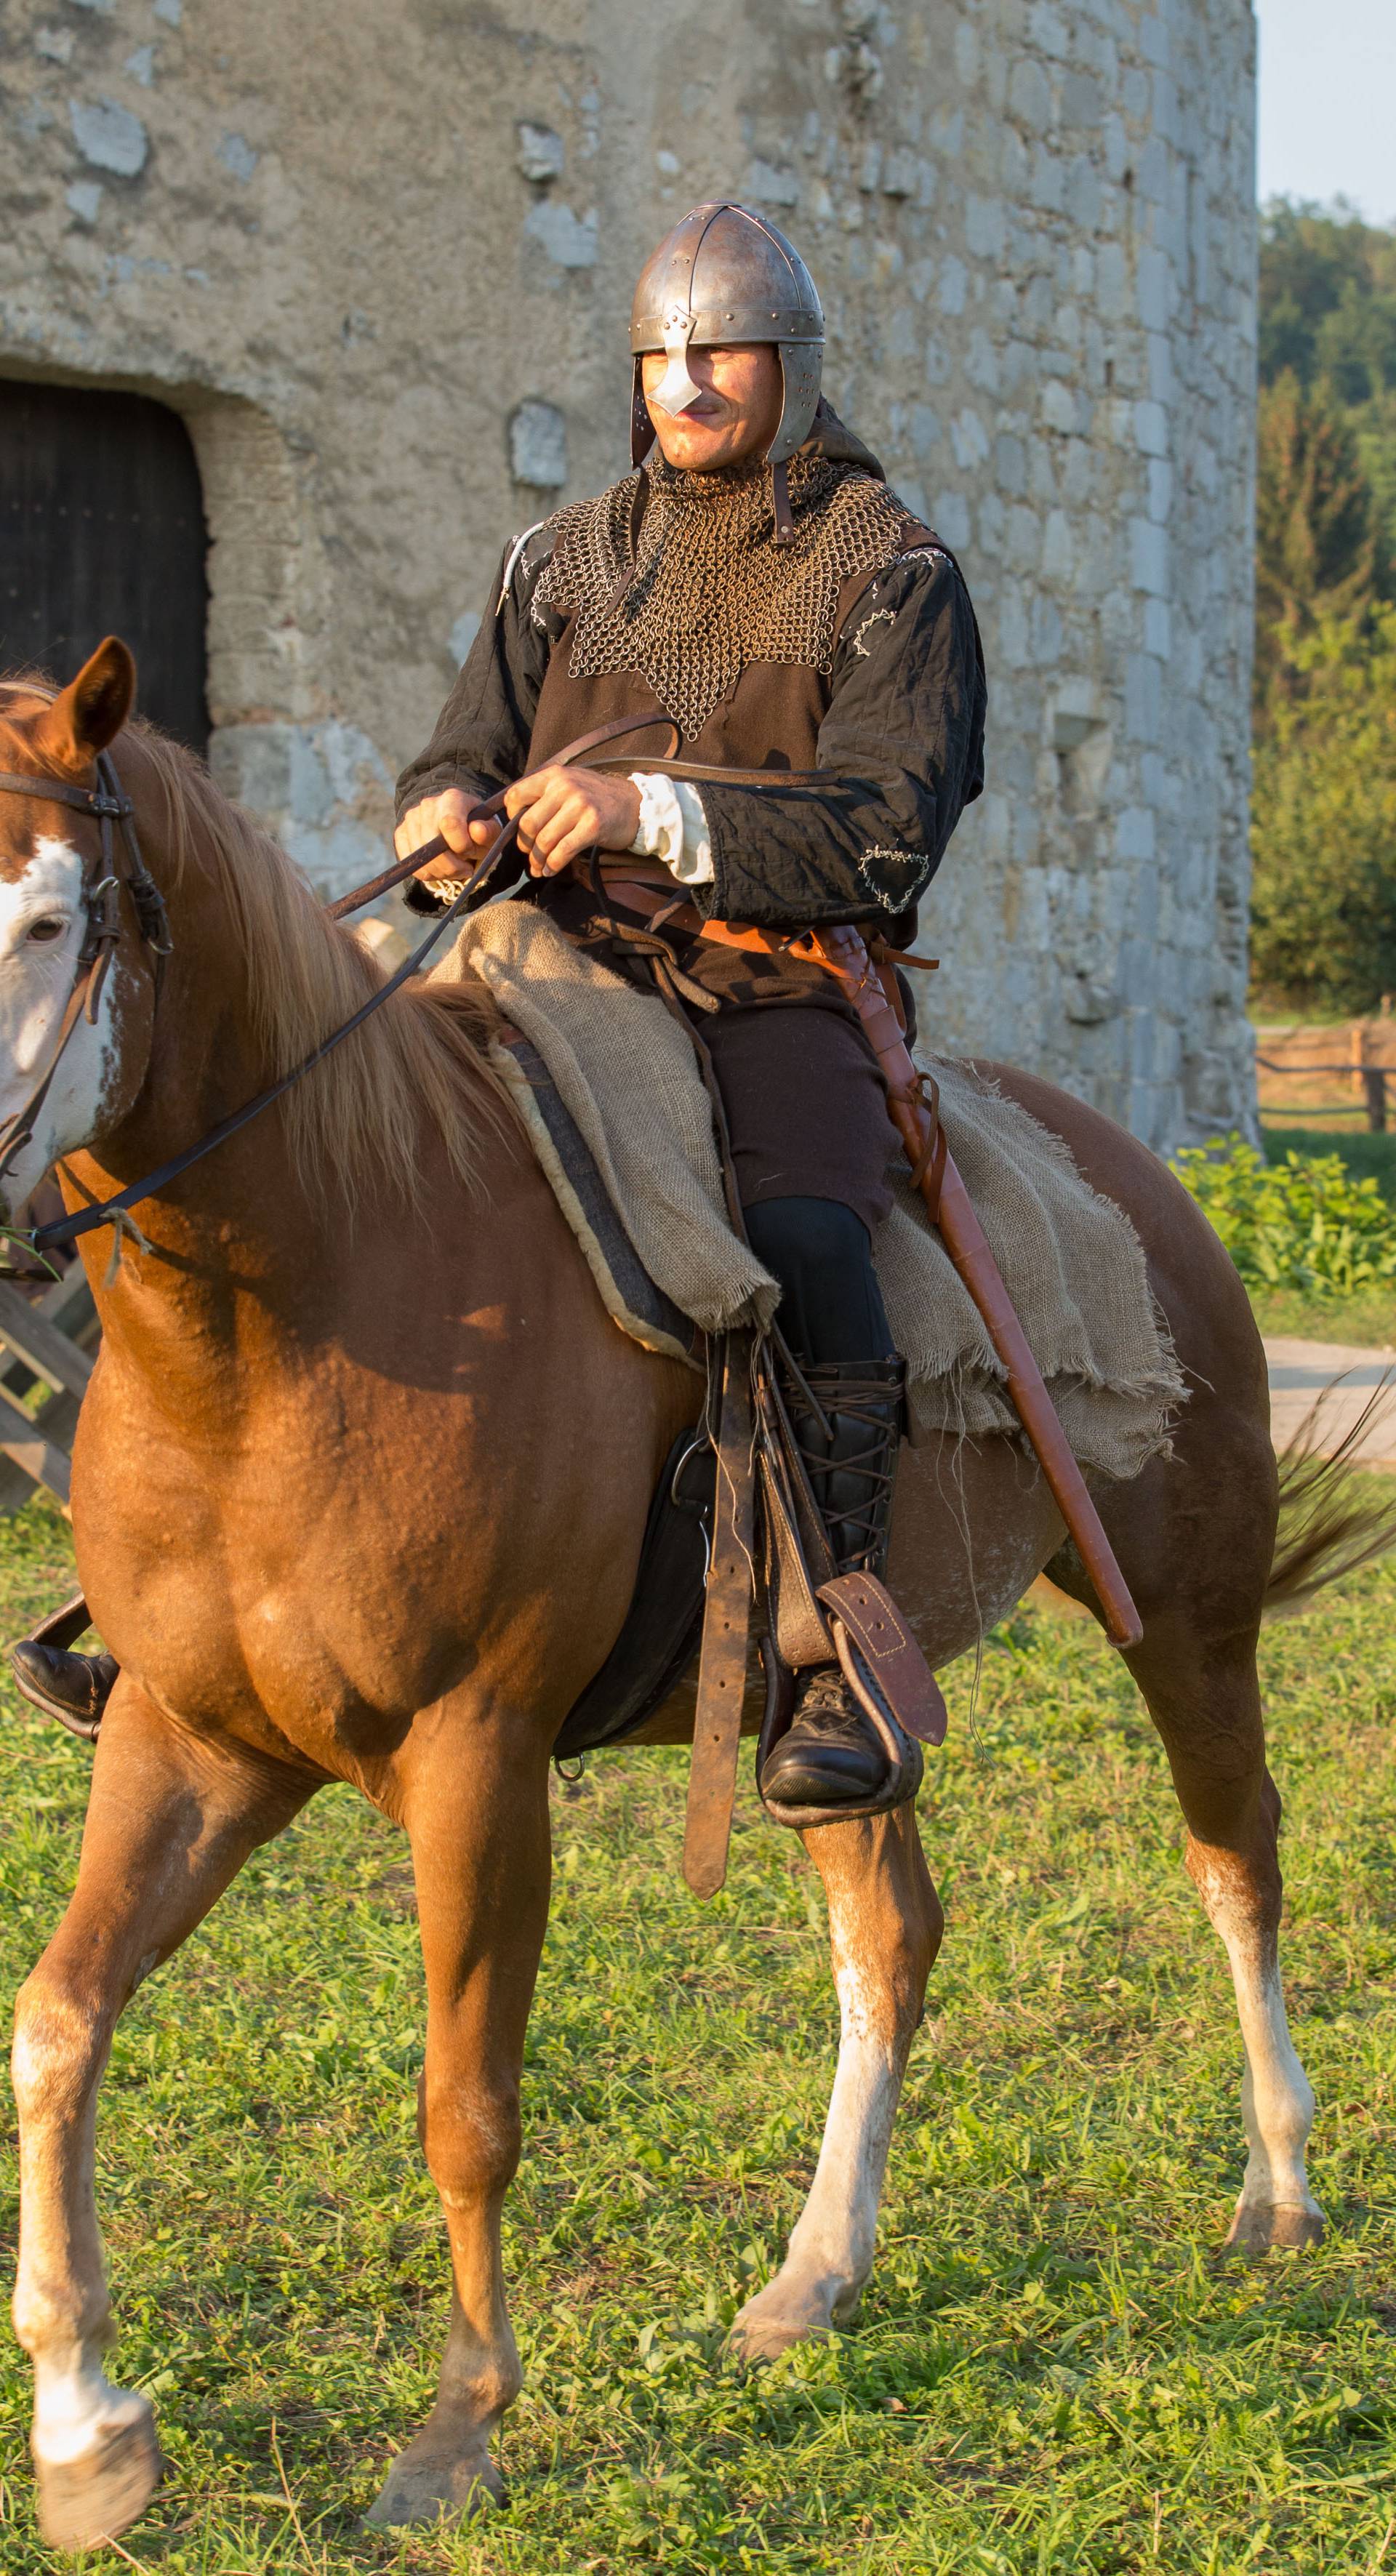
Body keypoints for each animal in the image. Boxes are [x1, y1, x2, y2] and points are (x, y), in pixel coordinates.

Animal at [0, 649, 1370, 2555]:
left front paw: (457, 2432)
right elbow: (57, 2025)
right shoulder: (192, 1741)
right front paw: (88, 2434)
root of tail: (1136, 1178)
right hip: (830, 1711)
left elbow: (466, 2101)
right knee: (893, 1931)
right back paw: (816, 2275)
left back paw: (1281, 2187)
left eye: (51, 916)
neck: (314, 1291)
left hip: (1186, 1617)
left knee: (1235, 1856)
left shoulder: (478, 1758)